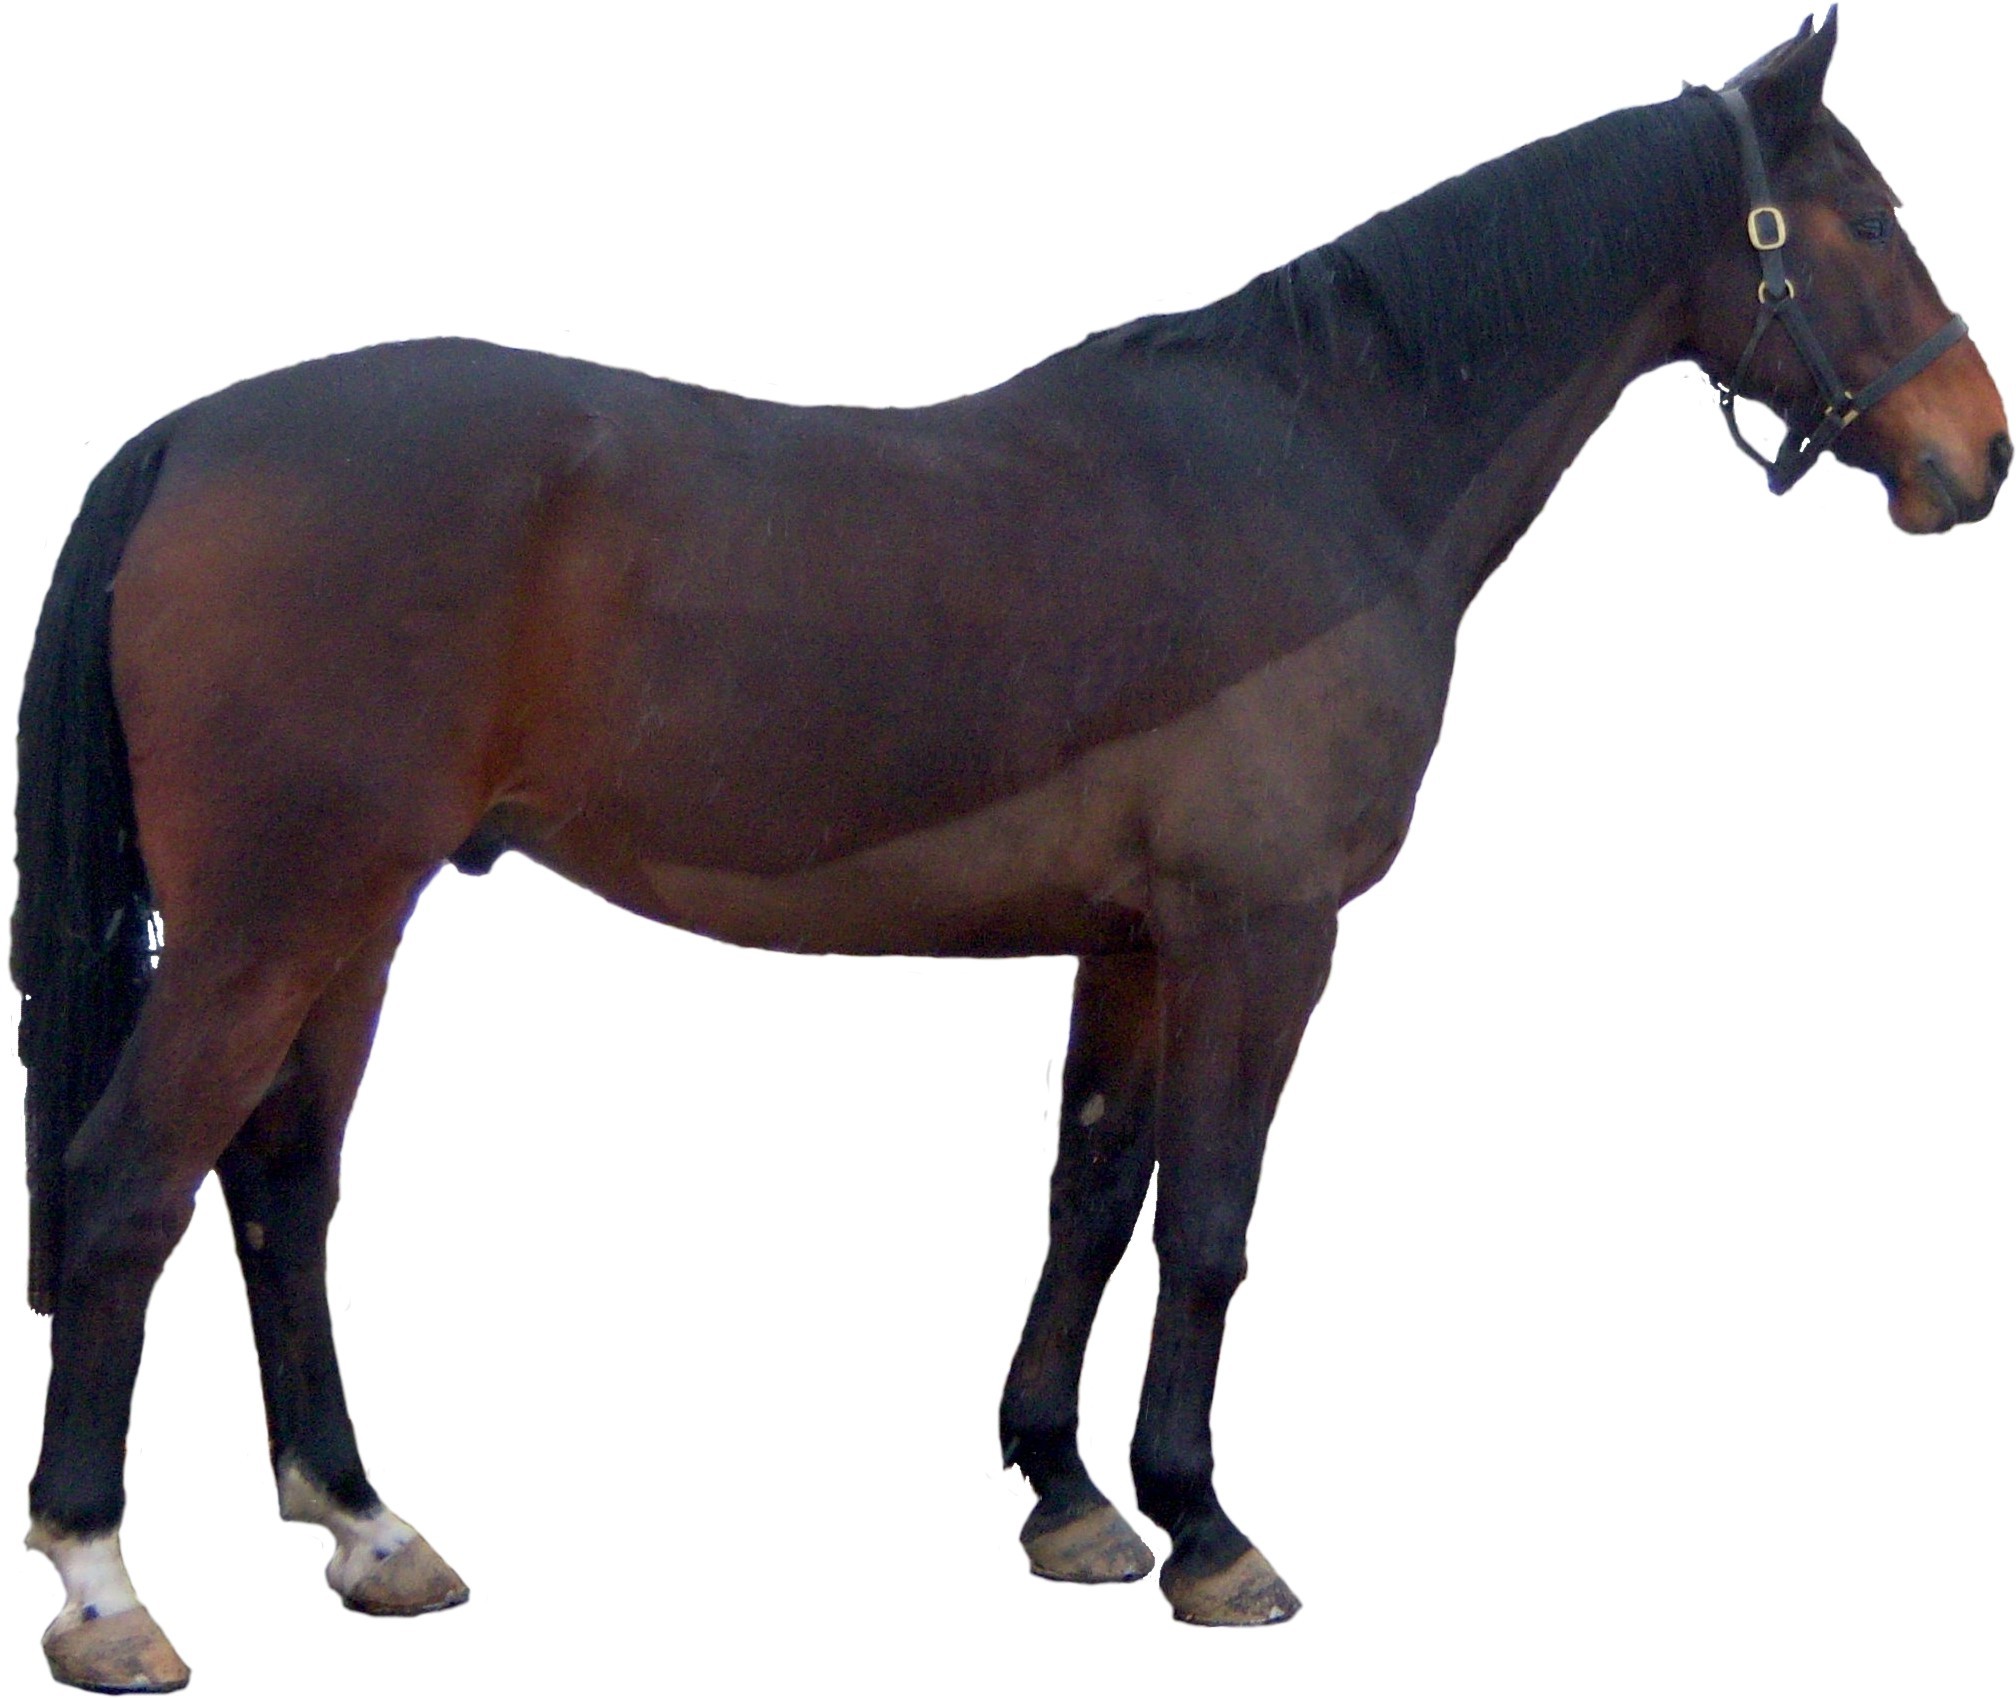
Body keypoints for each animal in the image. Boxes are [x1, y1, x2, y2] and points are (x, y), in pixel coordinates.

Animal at [13, 10, 2006, 1691]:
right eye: (1867, 223)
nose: (1974, 456)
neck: (1321, 460)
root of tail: (192, 435)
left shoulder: (1130, 941)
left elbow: (1092, 1193)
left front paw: (1067, 1493)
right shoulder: (1262, 933)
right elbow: (1210, 1219)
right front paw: (1209, 1527)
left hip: (356, 923)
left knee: (282, 1191)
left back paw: (368, 1525)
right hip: (275, 921)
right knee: (129, 1189)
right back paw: (106, 1587)